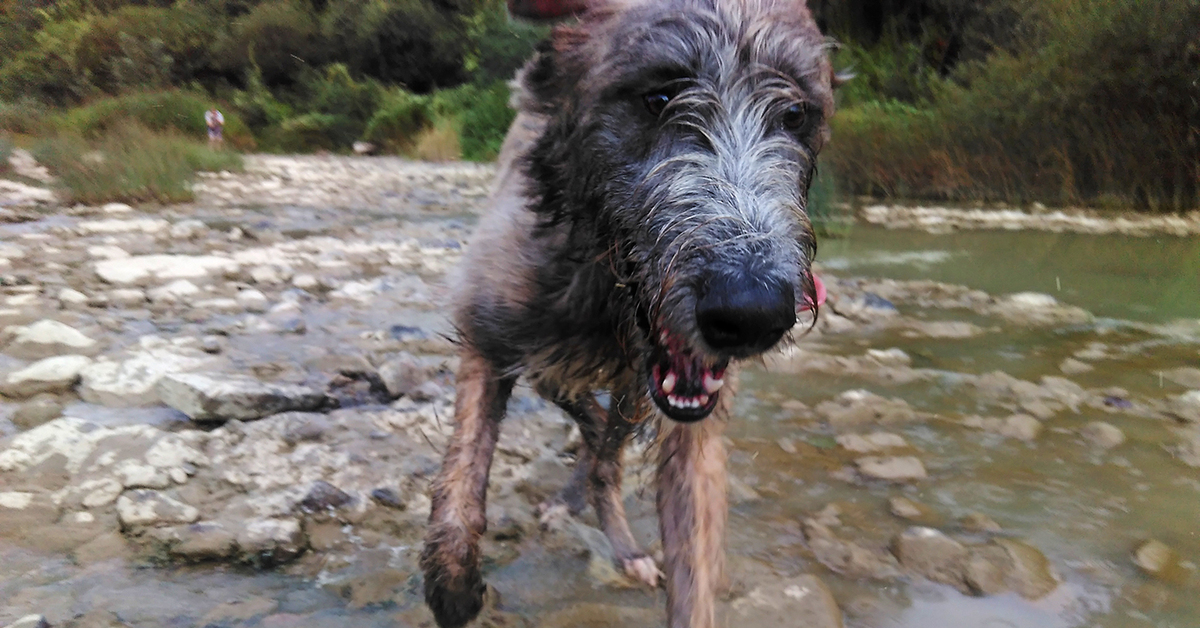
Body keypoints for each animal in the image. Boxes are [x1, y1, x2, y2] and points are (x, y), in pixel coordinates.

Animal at [420, 2, 835, 624]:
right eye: (658, 97)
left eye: (794, 113)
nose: (752, 314)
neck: (605, 292)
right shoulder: (488, 333)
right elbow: (462, 478)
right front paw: (455, 584)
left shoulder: (693, 430)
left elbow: (692, 570)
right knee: (589, 426)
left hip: (634, 391)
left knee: (607, 448)